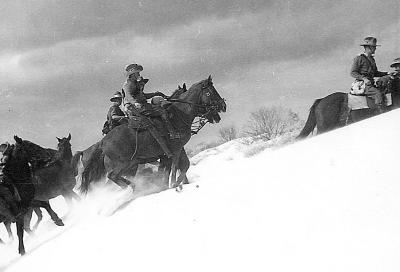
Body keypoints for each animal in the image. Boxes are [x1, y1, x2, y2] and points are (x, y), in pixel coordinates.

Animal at [79, 76, 227, 193]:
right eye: (211, 92)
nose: (223, 106)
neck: (179, 114)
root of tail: (102, 143)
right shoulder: (175, 150)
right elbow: (177, 167)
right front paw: (174, 184)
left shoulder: (170, 153)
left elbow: (180, 166)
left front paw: (174, 184)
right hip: (123, 164)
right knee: (112, 177)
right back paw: (135, 187)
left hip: (131, 166)